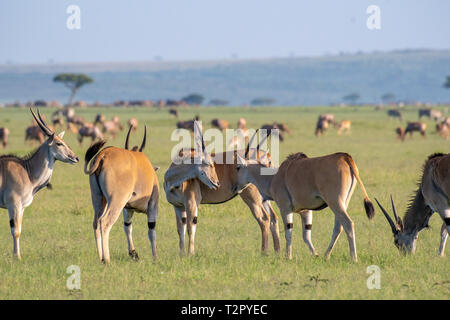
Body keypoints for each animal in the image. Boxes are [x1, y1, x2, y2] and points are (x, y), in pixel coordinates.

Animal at [0, 109, 78, 258]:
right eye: (59, 143)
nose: (75, 157)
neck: (27, 171)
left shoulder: (21, 208)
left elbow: (19, 229)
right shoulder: (14, 205)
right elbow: (15, 231)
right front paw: (17, 257)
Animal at [83, 125, 159, 262]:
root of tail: (103, 155)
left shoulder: (128, 208)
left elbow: (127, 227)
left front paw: (133, 253)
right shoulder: (152, 205)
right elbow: (151, 230)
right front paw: (155, 257)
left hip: (99, 199)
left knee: (96, 222)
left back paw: (100, 258)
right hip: (116, 201)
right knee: (105, 222)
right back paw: (107, 259)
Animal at [236, 131, 376, 262]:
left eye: (238, 167)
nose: (235, 187)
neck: (273, 178)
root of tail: (345, 157)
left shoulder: (285, 208)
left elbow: (288, 232)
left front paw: (288, 256)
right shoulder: (306, 211)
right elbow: (306, 236)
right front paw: (315, 255)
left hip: (335, 202)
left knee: (348, 224)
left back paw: (353, 258)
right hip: (342, 203)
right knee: (338, 227)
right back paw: (326, 255)